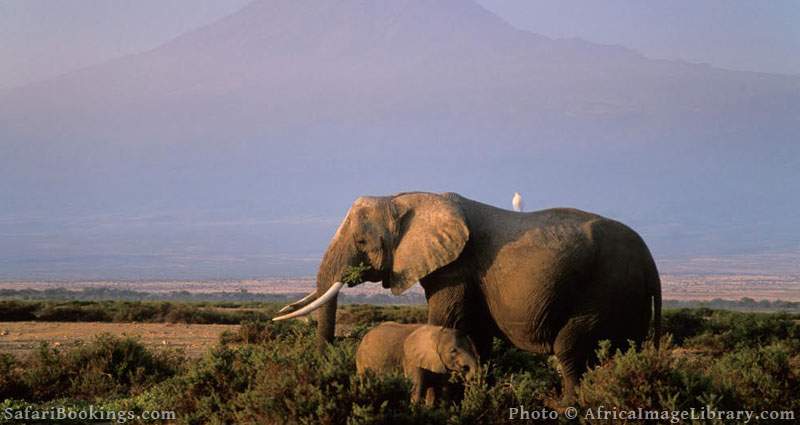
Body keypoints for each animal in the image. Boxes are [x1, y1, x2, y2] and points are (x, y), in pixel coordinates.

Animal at [276, 190, 664, 400]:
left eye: (360, 241)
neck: (407, 197)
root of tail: (650, 259)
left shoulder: (456, 268)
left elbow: (446, 323)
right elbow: (477, 339)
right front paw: (472, 400)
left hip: (607, 289)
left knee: (569, 350)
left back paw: (570, 408)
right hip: (627, 296)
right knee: (615, 352)